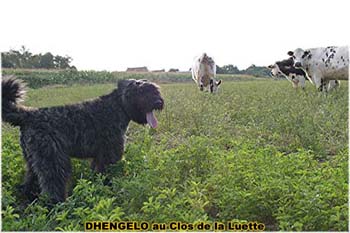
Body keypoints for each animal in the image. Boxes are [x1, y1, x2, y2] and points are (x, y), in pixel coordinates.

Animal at [1, 77, 164, 204]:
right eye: (141, 91)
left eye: (156, 90)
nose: (159, 102)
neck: (118, 107)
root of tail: (27, 115)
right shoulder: (110, 155)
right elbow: (109, 174)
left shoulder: (99, 157)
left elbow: (97, 173)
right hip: (52, 161)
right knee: (53, 185)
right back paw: (59, 206)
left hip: (34, 160)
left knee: (30, 181)